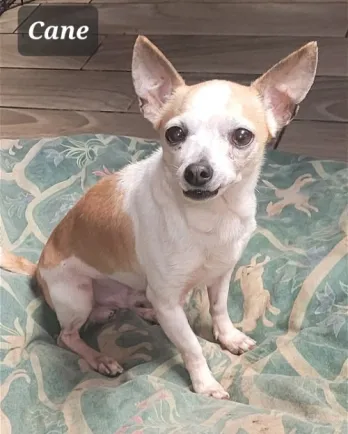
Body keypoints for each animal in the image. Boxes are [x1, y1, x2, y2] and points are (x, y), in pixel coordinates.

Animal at [1, 36, 318, 400]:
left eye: (242, 136)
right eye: (174, 134)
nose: (197, 171)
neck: (211, 218)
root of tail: (38, 271)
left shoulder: (221, 275)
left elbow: (219, 309)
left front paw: (229, 338)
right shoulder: (167, 298)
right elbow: (191, 345)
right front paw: (205, 384)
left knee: (132, 306)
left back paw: (144, 313)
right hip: (77, 296)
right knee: (66, 336)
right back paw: (99, 358)